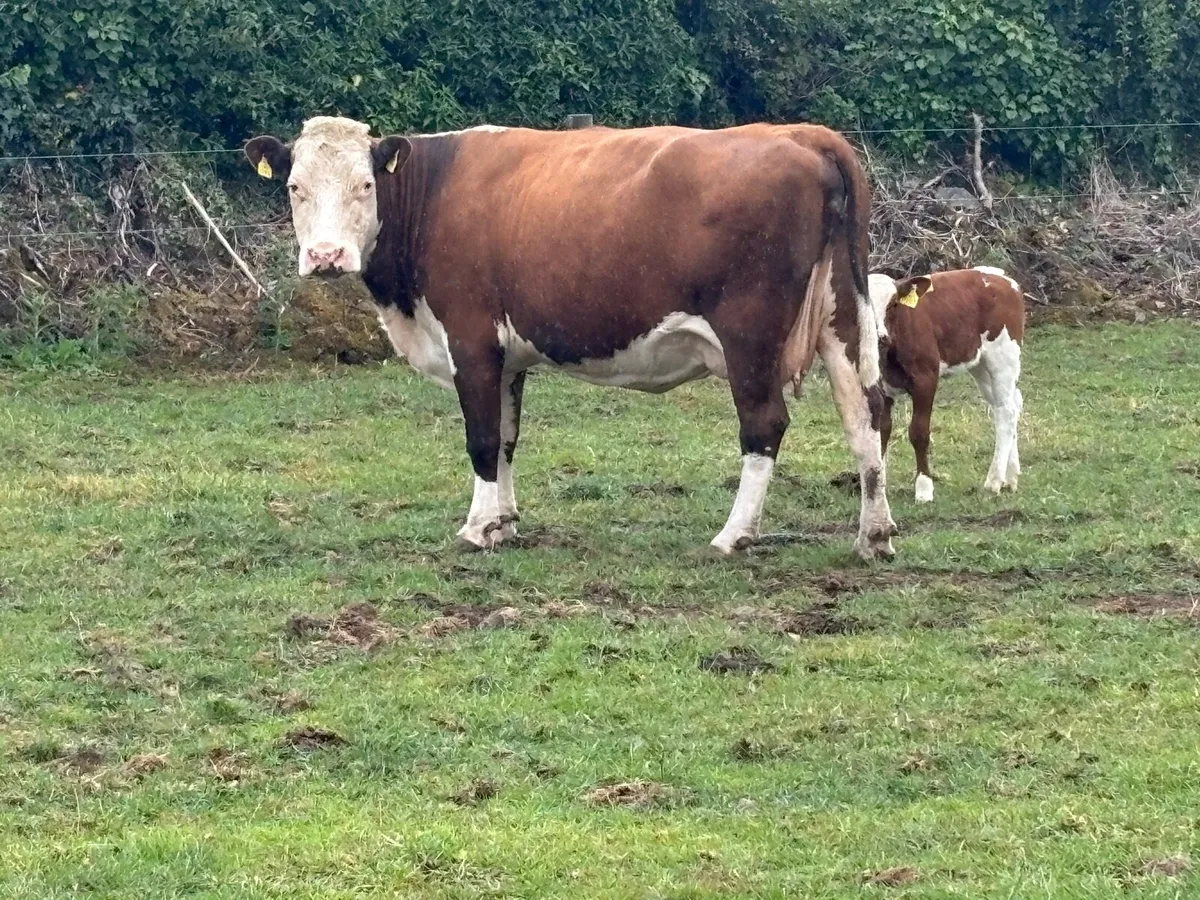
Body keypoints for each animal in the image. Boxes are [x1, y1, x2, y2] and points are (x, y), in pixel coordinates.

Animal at [245, 116, 897, 558]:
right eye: (295, 186)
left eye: (364, 185)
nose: (326, 256)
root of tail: (802, 133)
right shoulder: (507, 357)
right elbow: (507, 441)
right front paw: (504, 523)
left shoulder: (471, 341)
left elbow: (482, 440)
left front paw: (476, 530)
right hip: (841, 316)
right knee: (866, 414)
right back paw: (874, 533)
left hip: (749, 335)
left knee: (765, 426)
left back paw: (733, 535)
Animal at [868, 266, 1025, 502]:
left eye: (893, 304)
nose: (881, 337)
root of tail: (999, 276)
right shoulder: (880, 385)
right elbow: (882, 432)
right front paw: (880, 487)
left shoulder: (926, 380)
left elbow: (919, 432)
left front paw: (924, 489)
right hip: (980, 365)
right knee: (1011, 404)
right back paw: (1011, 477)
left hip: (1003, 357)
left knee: (1006, 411)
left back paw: (994, 482)